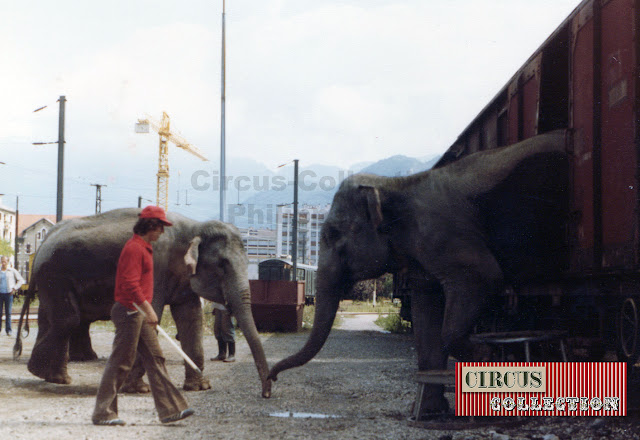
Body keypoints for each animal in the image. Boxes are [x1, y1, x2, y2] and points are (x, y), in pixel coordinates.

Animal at [15, 208, 270, 398]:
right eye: (223, 264)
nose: (266, 393)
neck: (195, 227)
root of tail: (46, 238)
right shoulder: (155, 265)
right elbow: (150, 313)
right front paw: (138, 389)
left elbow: (191, 318)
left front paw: (199, 387)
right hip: (55, 275)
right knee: (69, 319)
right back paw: (49, 374)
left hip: (53, 278)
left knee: (58, 318)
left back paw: (50, 375)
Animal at [268, 131, 568, 416]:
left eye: (331, 234)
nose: (270, 383)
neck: (397, 185)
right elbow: (425, 311)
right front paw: (430, 409)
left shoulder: (444, 233)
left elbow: (482, 279)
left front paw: (489, 355)